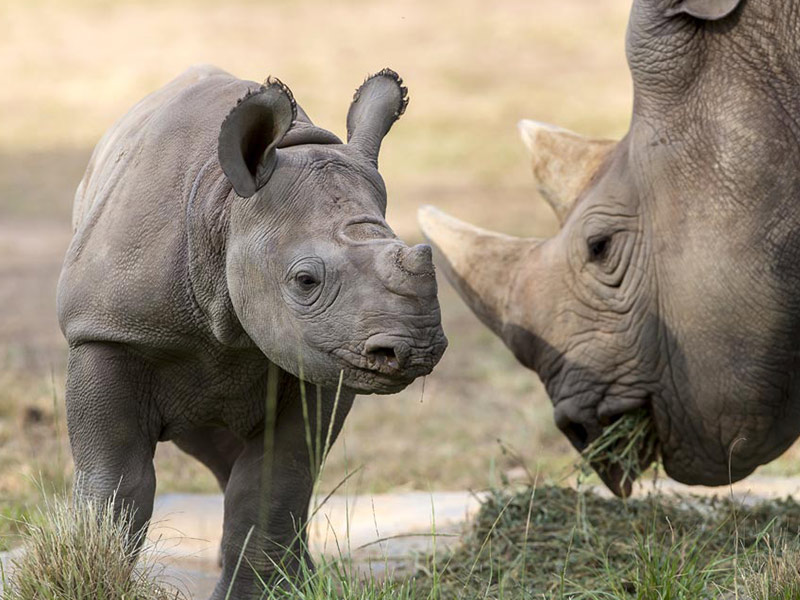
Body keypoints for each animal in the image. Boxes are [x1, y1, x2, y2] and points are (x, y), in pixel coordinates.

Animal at [57, 65, 447, 597]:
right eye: (305, 281)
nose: (415, 349)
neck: (224, 211)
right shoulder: (107, 330)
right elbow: (116, 482)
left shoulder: (319, 360)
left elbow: (275, 483)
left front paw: (264, 589)